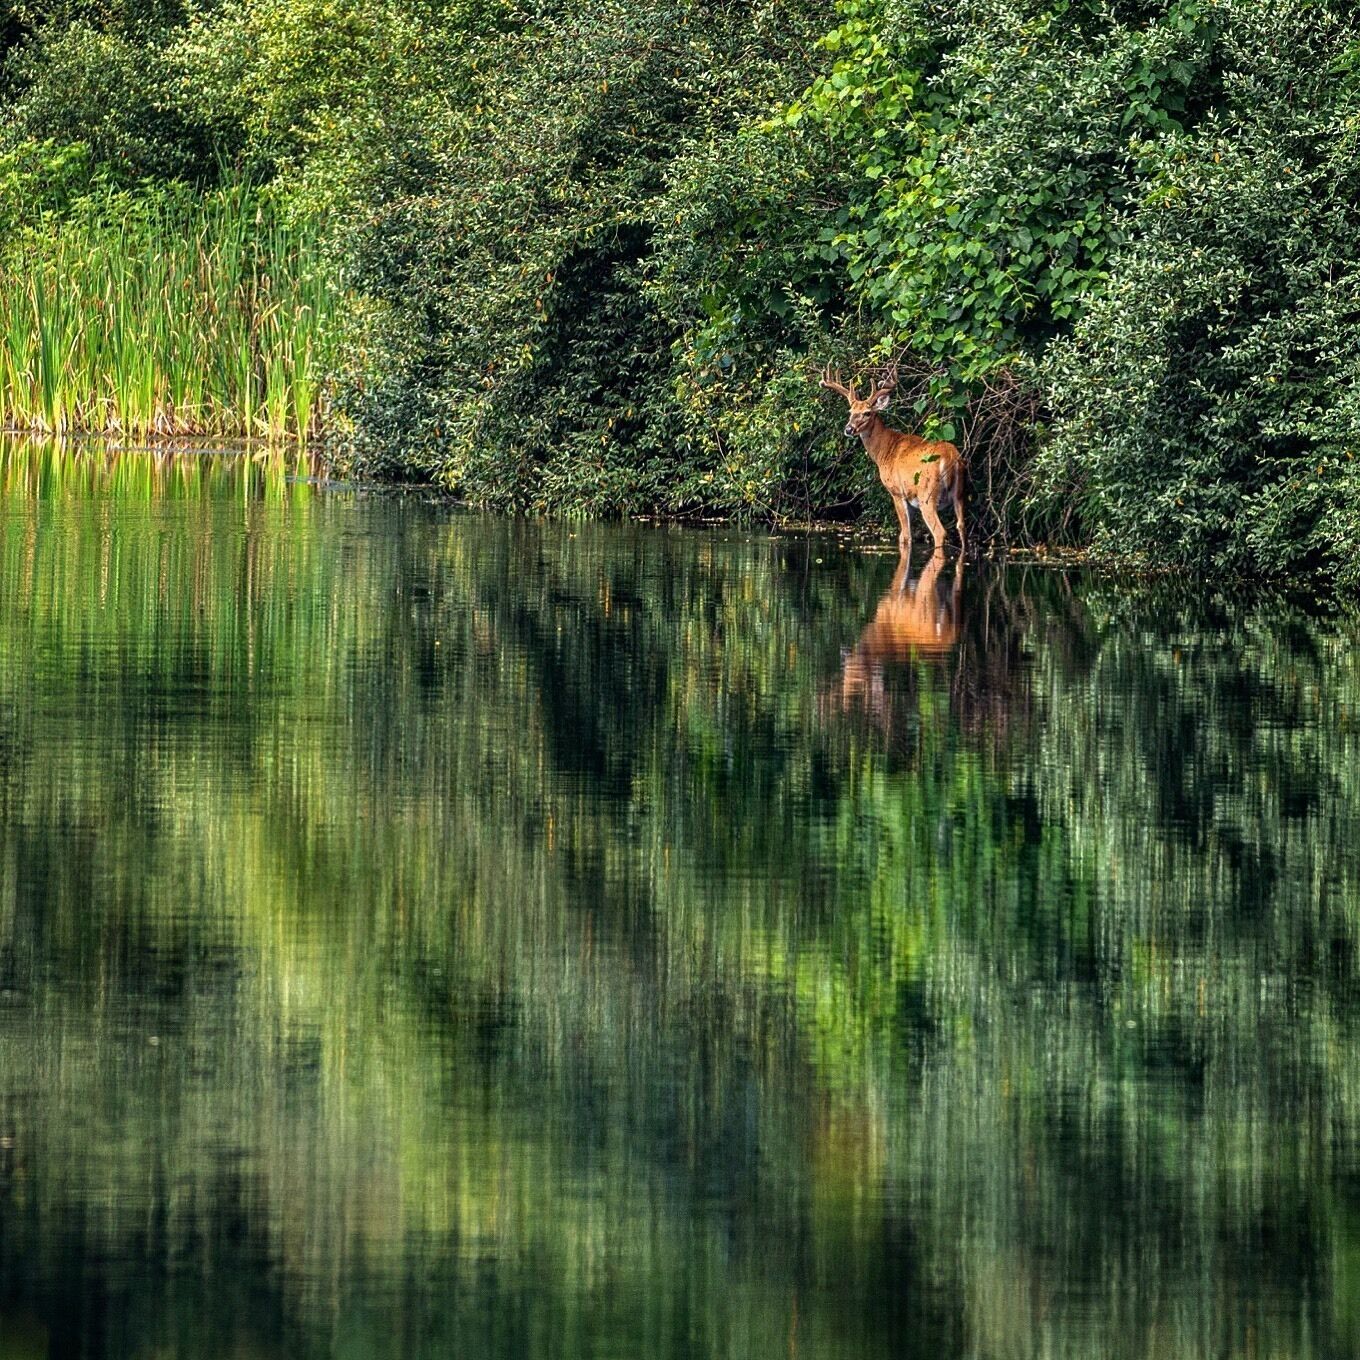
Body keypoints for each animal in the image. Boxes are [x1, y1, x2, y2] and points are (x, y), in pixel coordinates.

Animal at [820, 365, 966, 558]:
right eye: (850, 412)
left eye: (867, 413)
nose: (848, 429)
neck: (885, 451)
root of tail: (950, 457)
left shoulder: (897, 492)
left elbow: (905, 536)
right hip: (960, 493)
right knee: (961, 526)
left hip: (926, 494)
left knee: (939, 532)